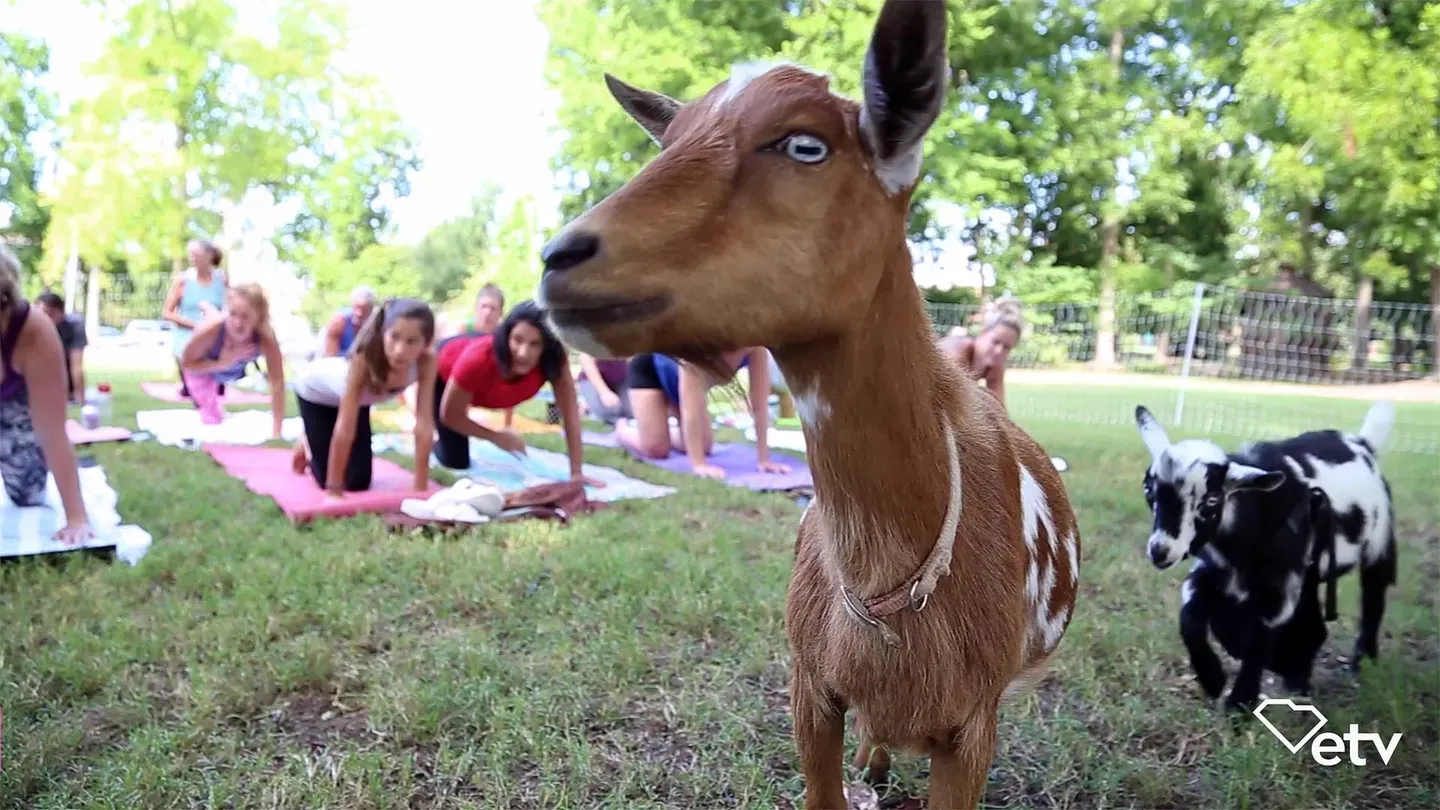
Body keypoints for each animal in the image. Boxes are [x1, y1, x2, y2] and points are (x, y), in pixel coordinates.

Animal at [1134, 402, 1398, 711]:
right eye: (1148, 489)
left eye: (1211, 500)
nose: (1160, 550)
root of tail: (1364, 443)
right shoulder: (1213, 572)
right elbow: (1191, 616)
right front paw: (1213, 679)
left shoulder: (1280, 586)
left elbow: (1258, 636)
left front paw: (1240, 703)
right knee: (1314, 621)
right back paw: (1298, 679)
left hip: (1379, 542)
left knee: (1373, 599)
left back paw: (1362, 663)